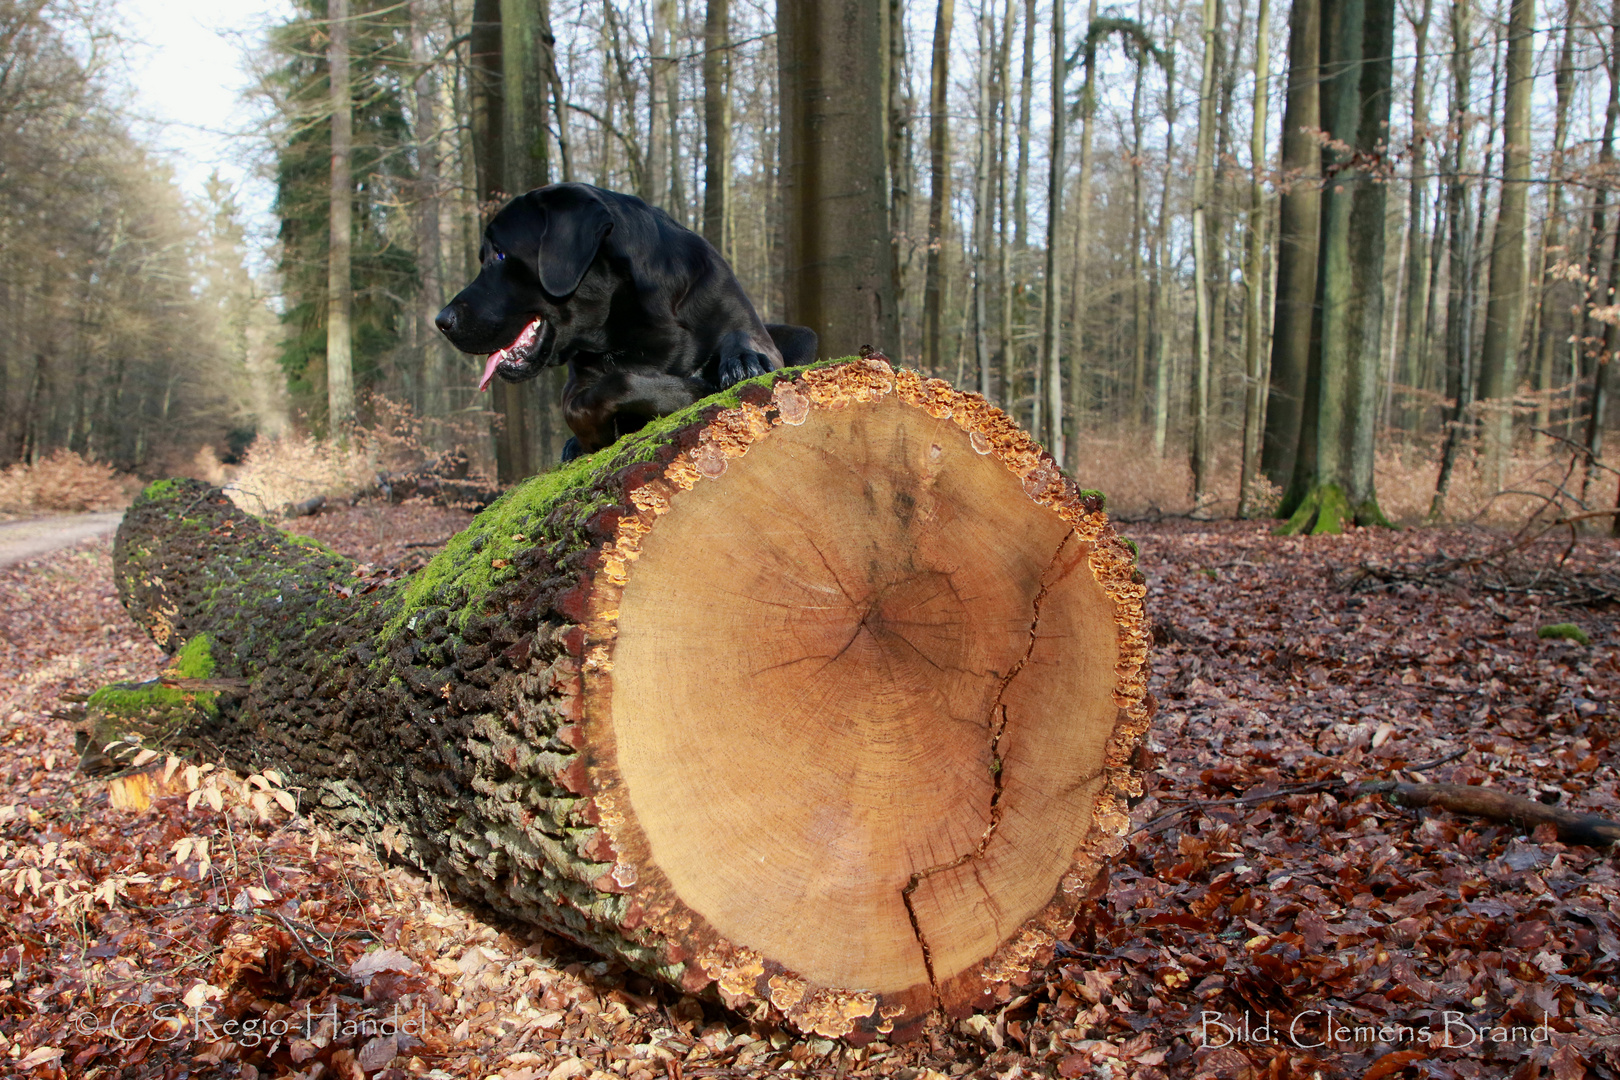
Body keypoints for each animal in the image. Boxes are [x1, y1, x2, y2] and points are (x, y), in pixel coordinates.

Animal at [434, 182, 816, 459]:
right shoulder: (577, 388)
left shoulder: (742, 319)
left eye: (498, 254)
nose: (441, 320)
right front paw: (690, 390)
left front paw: (742, 361)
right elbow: (611, 388)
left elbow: (743, 338)